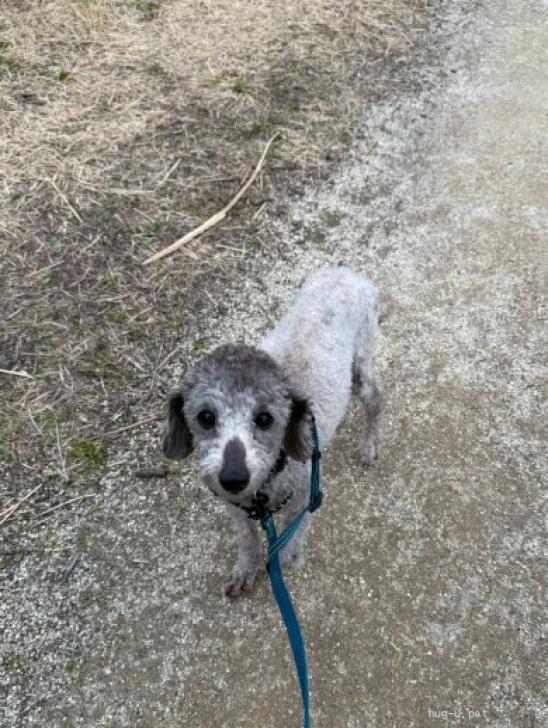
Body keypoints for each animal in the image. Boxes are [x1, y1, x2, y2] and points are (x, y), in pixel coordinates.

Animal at [163, 267, 382, 596]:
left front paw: (290, 555)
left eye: (265, 418)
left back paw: (369, 445)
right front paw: (245, 569)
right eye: (205, 417)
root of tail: (348, 273)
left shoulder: (308, 494)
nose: (233, 478)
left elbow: (295, 533)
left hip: (361, 364)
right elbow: (248, 540)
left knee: (376, 400)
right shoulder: (237, 508)